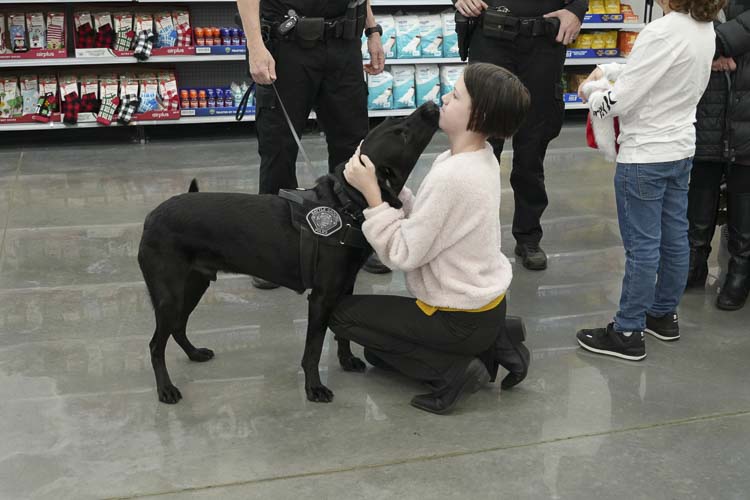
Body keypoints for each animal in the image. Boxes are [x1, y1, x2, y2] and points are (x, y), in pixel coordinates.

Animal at [140, 101, 440, 402]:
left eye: (397, 122)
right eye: (402, 134)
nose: (430, 105)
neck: (346, 204)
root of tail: (152, 216)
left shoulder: (344, 288)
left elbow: (343, 333)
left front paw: (346, 360)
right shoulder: (321, 297)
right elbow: (313, 349)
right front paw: (314, 387)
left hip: (194, 284)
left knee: (177, 327)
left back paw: (194, 353)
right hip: (170, 295)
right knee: (156, 344)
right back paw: (166, 389)